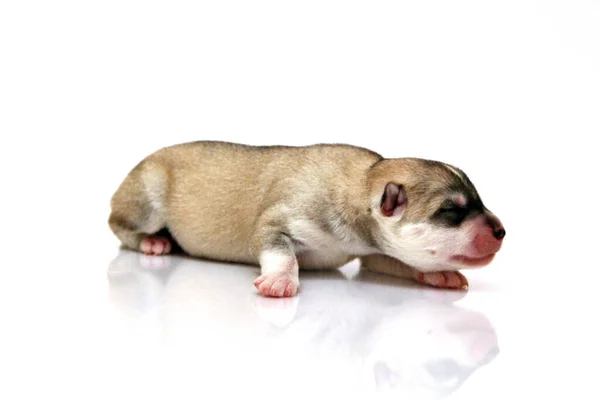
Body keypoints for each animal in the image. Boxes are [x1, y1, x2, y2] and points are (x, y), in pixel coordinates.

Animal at [109, 141, 506, 296]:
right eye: (450, 210)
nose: (502, 231)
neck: (360, 185)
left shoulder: (376, 249)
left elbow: (394, 262)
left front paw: (437, 273)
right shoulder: (279, 220)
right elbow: (277, 248)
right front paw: (280, 281)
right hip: (146, 193)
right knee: (118, 225)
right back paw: (153, 241)